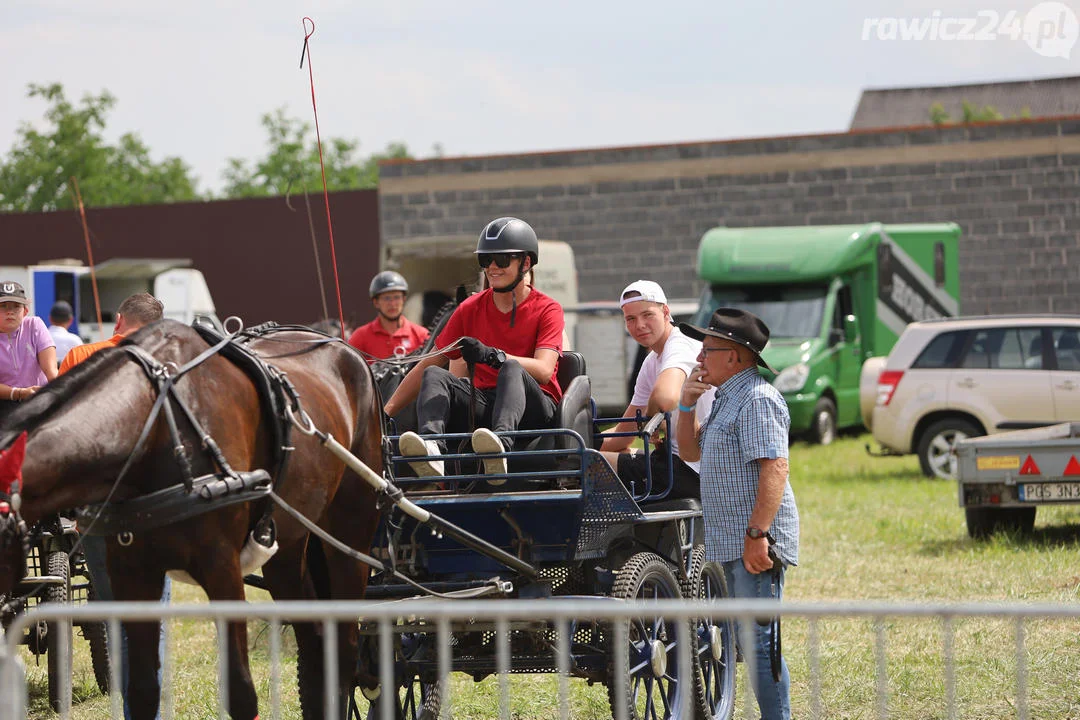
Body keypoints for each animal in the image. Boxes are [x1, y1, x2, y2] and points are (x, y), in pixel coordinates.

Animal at [0, 321, 384, 720]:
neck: (155, 425)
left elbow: (241, 692)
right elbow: (142, 692)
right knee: (314, 643)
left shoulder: (222, 567)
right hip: (287, 549)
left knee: (345, 644)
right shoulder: (130, 571)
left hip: (349, 535)